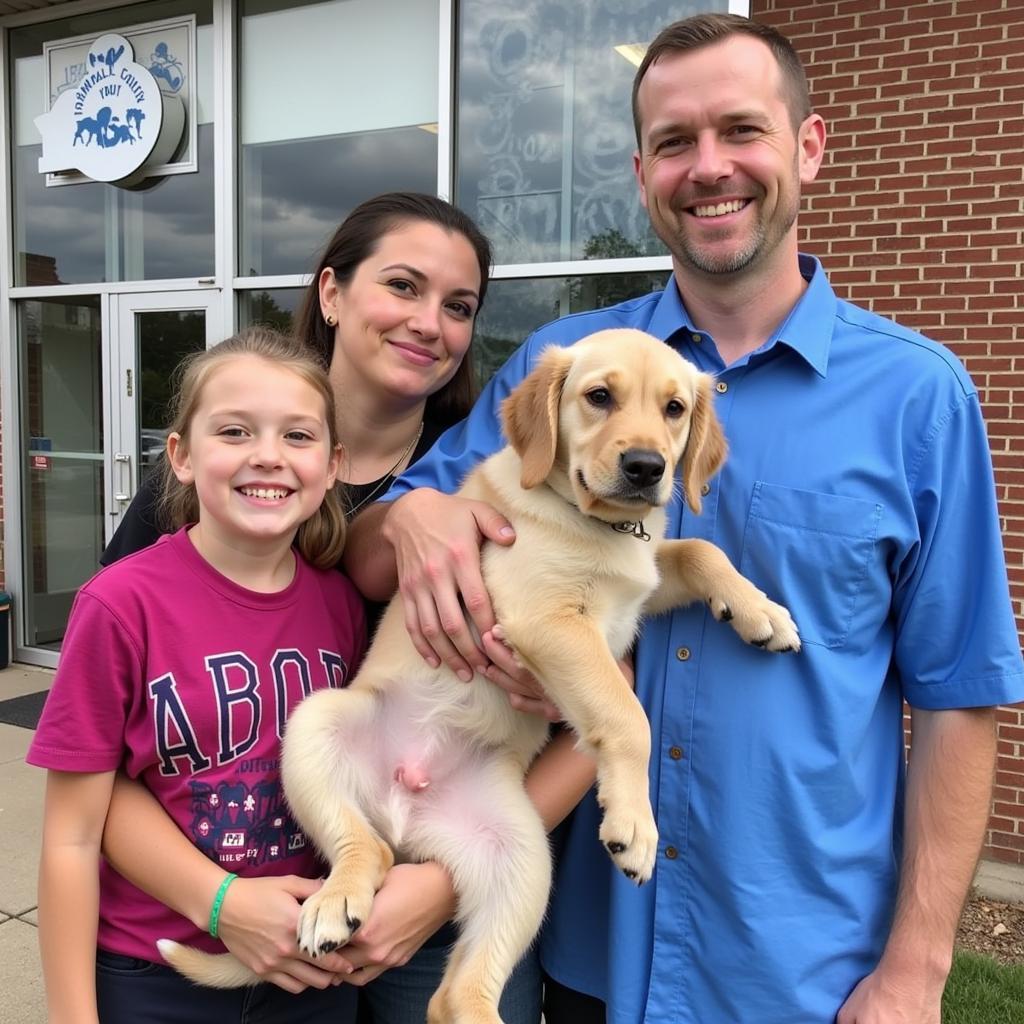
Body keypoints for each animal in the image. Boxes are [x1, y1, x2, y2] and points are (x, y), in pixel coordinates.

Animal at [159, 329, 798, 1024]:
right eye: (599, 397)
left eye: (675, 409)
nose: (646, 467)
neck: (597, 523)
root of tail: (406, 818)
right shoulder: (545, 620)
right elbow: (626, 714)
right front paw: (635, 823)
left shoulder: (641, 584)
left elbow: (698, 551)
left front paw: (761, 611)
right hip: (317, 725)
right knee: (361, 849)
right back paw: (335, 901)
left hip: (521, 856)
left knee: (454, 993)